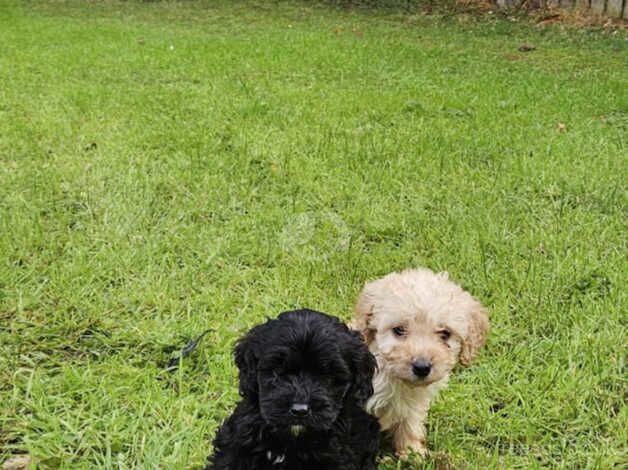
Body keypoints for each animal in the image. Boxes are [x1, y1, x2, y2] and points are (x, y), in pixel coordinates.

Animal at [354, 270, 490, 458]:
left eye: (445, 333)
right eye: (399, 330)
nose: (422, 367)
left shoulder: (413, 405)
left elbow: (409, 423)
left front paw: (412, 452)